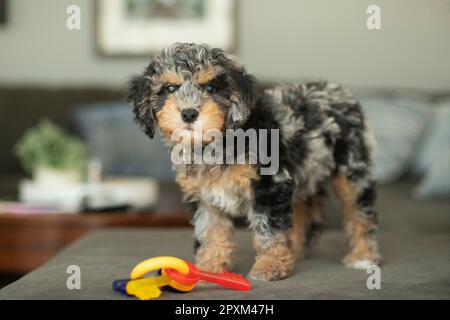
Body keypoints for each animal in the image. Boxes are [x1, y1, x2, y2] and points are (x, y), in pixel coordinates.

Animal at [128, 42, 382, 280]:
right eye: (170, 88)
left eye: (210, 87)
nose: (189, 113)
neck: (218, 141)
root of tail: (340, 92)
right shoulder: (203, 196)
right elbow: (210, 231)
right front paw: (209, 267)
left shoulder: (268, 184)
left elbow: (268, 228)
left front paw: (271, 265)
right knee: (305, 213)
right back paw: (295, 251)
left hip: (352, 168)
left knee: (360, 212)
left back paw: (363, 256)